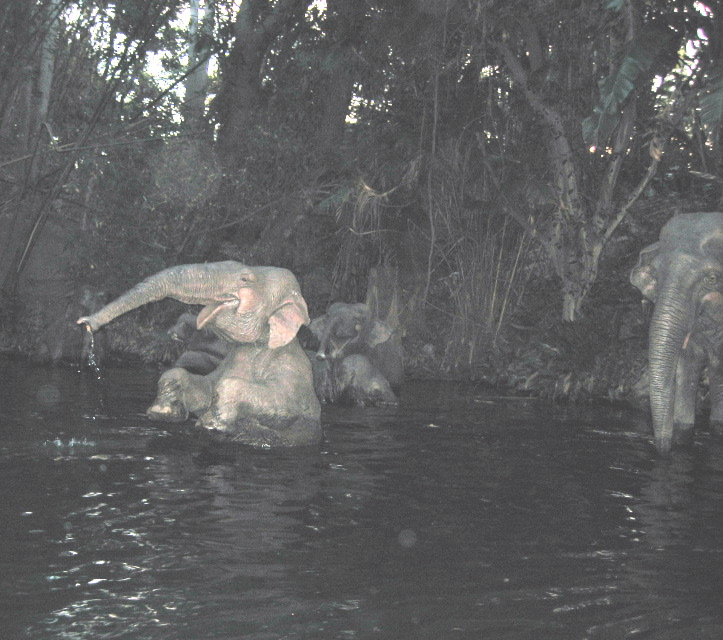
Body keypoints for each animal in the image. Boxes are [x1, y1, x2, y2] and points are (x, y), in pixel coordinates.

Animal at [75, 262, 320, 448]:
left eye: (245, 279)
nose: (85, 323)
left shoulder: (292, 371)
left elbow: (282, 404)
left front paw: (211, 424)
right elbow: (201, 385)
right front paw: (162, 413)